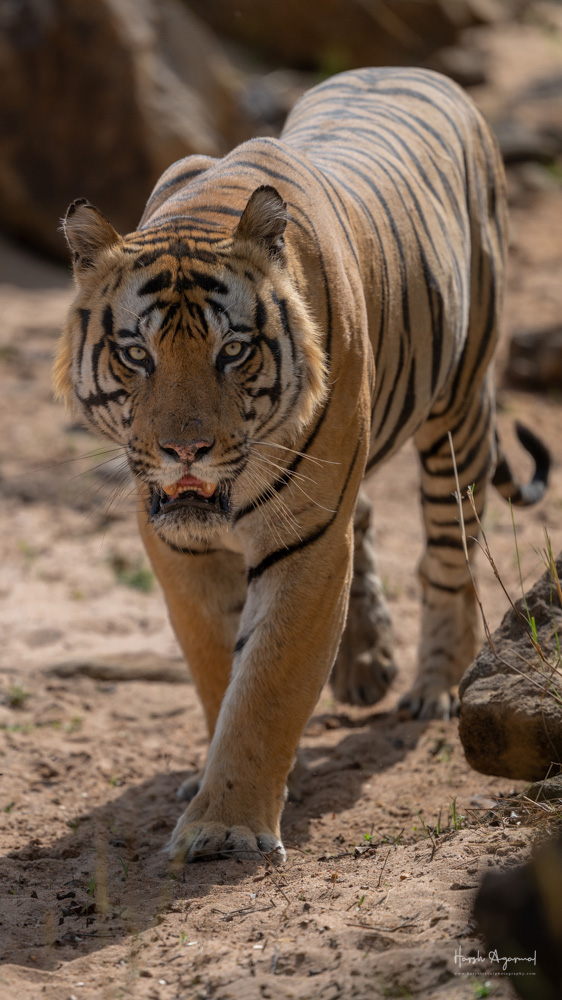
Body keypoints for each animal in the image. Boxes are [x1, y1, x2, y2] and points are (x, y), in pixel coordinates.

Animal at [55, 67, 549, 864]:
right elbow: (219, 667)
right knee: (375, 518)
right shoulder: (181, 546)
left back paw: (432, 687)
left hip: (458, 410)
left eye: (233, 351)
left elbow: (268, 681)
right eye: (137, 353)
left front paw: (226, 826)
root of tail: (413, 71)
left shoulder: (308, 540)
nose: (185, 451)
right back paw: (366, 662)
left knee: (449, 558)